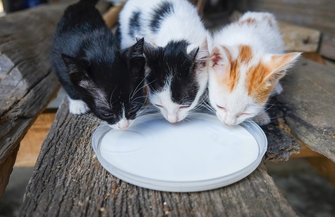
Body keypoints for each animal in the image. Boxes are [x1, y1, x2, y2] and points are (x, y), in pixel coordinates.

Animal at [51, 0, 146, 129]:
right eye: (106, 113)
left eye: (134, 107)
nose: (124, 126)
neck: (99, 50)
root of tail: (79, 6)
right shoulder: (59, 60)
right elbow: (66, 80)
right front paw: (77, 104)